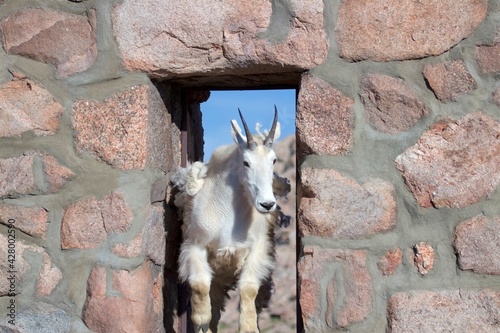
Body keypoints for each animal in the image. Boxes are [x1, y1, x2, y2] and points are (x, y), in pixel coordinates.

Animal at [173, 107, 288, 330]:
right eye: (246, 162)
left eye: (274, 160)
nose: (267, 204)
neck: (227, 216)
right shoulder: (194, 244)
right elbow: (200, 284)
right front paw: (201, 320)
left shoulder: (258, 249)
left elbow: (248, 288)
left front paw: (249, 327)